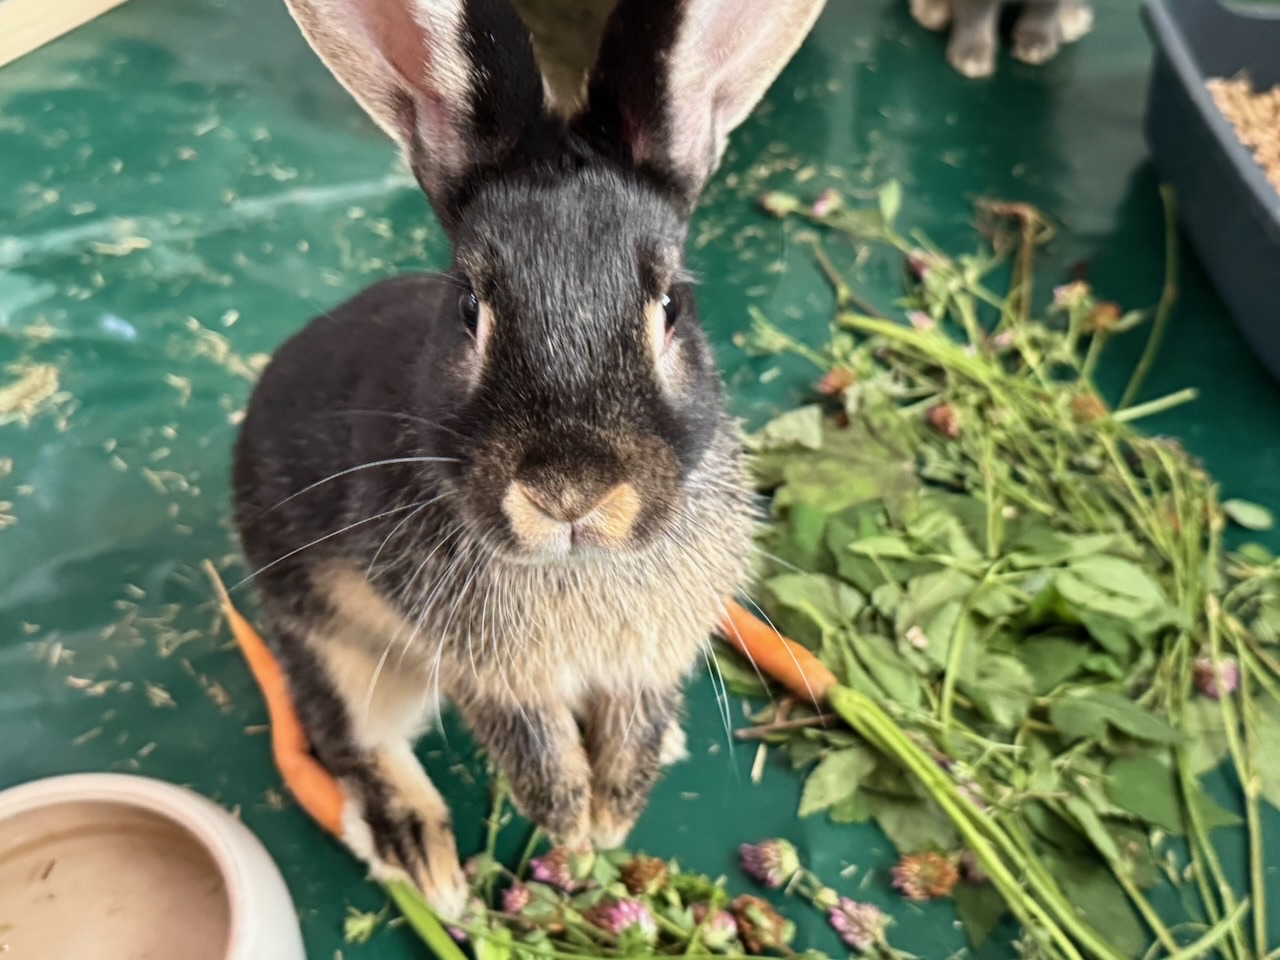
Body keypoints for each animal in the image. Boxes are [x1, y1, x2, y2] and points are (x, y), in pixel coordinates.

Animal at [233, 0, 825, 921]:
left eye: (672, 306)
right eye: (470, 308)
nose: (568, 491)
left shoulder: (649, 659)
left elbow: (631, 729)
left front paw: (614, 818)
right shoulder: (496, 678)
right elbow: (539, 754)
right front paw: (579, 834)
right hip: (333, 642)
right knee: (348, 737)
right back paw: (424, 862)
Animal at [910, 0, 1094, 78]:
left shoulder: (1047, 6)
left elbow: (1044, 11)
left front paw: (1036, 45)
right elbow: (976, 16)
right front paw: (972, 57)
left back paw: (1072, 19)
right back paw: (932, 12)